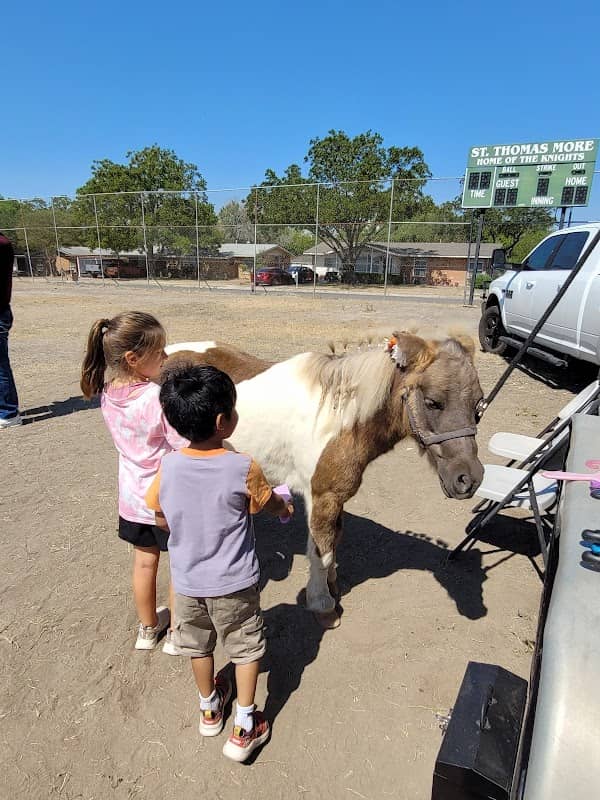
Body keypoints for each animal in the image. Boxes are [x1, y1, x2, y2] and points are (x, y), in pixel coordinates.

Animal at [163, 332, 484, 627]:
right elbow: (322, 550)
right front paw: (323, 605)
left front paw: (333, 586)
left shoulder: (336, 498)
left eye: (479, 406)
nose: (469, 479)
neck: (339, 418)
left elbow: (334, 541)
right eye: (433, 402)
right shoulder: (322, 496)